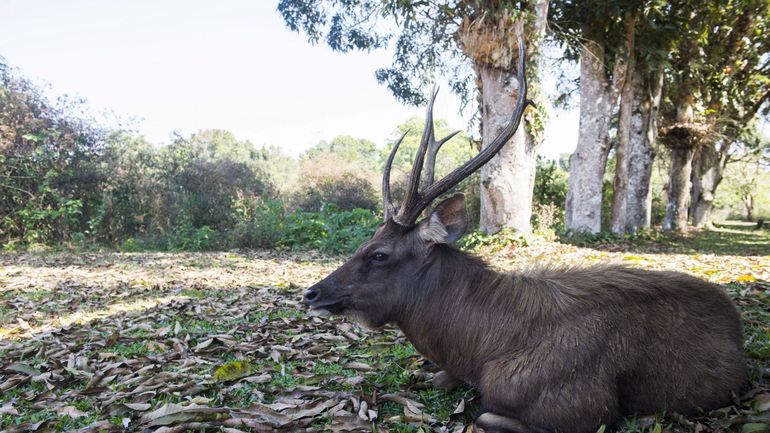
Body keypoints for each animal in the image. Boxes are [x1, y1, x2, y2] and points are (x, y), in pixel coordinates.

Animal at [302, 36, 744, 432]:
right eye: (365, 241)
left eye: (379, 254)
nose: (311, 293)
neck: (477, 348)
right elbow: (435, 377)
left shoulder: (585, 408)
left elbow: (483, 415)